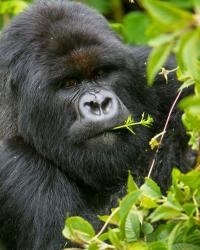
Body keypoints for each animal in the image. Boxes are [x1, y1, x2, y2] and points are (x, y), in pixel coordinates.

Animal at [0, 0, 195, 250]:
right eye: (69, 84)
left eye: (101, 73)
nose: (99, 104)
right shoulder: (13, 162)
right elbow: (88, 237)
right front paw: (181, 147)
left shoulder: (152, 71)